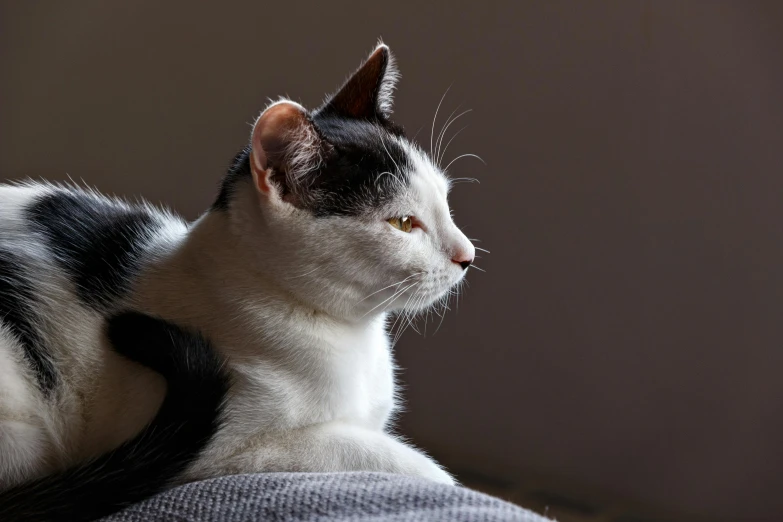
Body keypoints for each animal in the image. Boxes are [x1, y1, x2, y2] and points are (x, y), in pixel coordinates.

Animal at [0, 41, 478, 520]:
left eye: (444, 199)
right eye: (403, 223)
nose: (468, 256)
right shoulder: (226, 452)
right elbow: (364, 451)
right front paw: (439, 480)